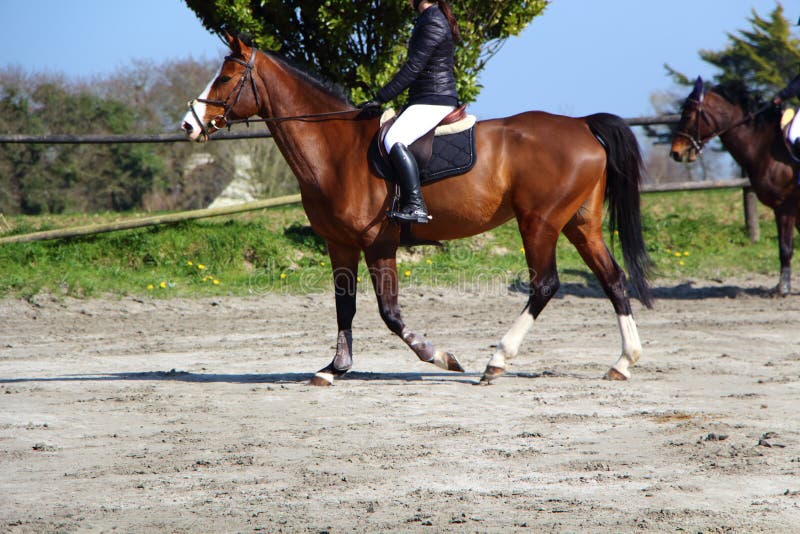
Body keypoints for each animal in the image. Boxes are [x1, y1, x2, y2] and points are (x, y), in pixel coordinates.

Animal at [180, 33, 648, 386]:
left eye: (226, 77)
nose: (189, 125)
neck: (335, 150)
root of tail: (582, 125)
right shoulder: (339, 244)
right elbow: (344, 306)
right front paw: (334, 369)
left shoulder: (378, 243)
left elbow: (389, 313)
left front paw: (440, 356)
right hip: (579, 223)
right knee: (612, 278)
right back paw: (623, 362)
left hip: (540, 222)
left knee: (545, 284)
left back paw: (497, 361)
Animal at [668, 77, 800, 298]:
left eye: (688, 115)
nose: (675, 152)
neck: (769, 147)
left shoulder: (786, 208)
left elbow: (785, 248)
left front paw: (782, 289)